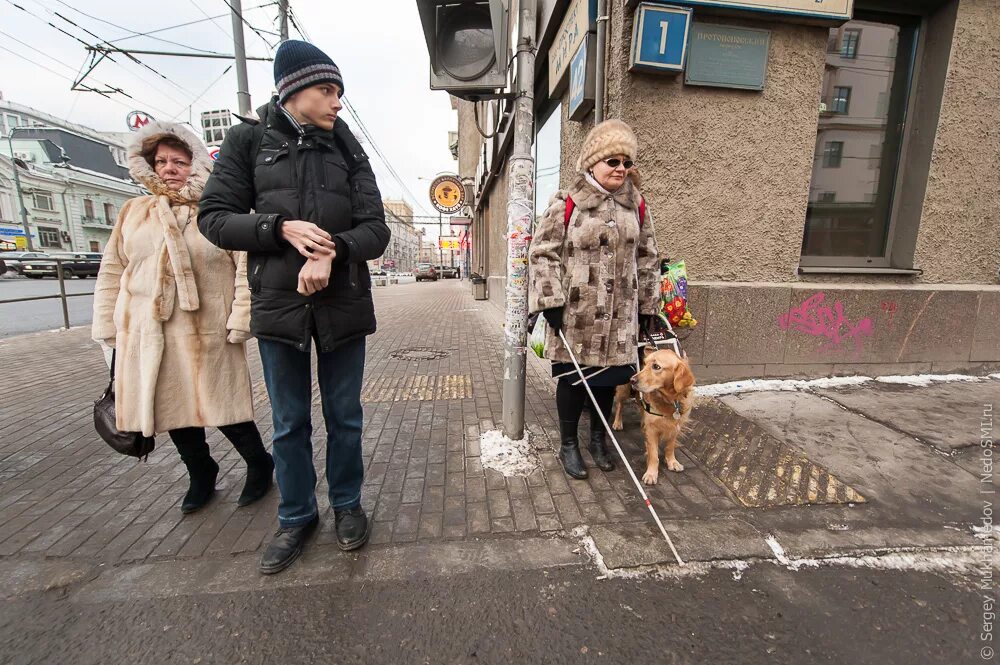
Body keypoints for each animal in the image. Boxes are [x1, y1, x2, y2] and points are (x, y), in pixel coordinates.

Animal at [608, 348, 696, 482]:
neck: (669, 400)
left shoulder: (676, 425)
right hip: (625, 390)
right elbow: (654, 454)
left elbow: (670, 446)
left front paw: (672, 462)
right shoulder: (652, 429)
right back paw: (618, 422)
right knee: (620, 404)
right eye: (645, 364)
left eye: (656, 366)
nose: (632, 380)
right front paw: (651, 474)